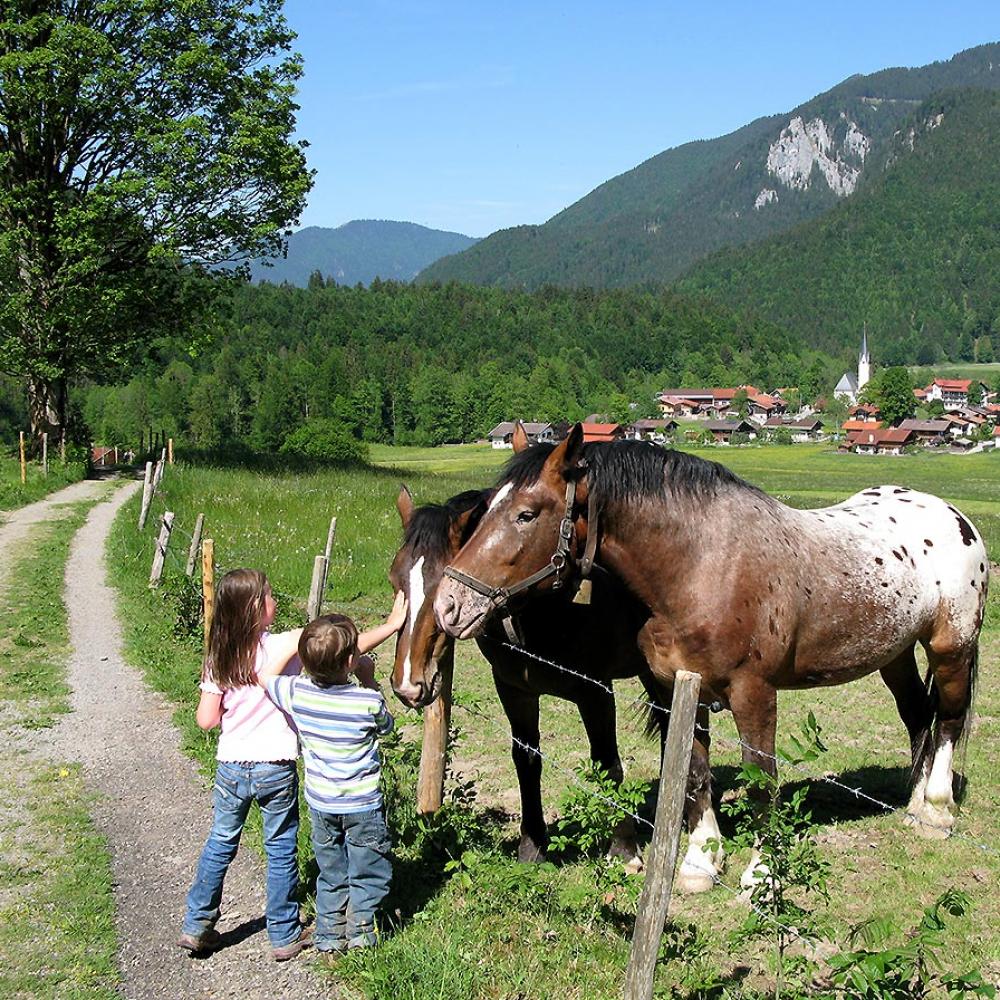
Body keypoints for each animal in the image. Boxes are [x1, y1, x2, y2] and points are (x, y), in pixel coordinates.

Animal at [386, 472, 668, 872]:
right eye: (395, 580)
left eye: (444, 581)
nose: (409, 683)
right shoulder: (513, 689)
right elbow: (527, 760)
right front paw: (532, 843)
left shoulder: (596, 692)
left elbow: (607, 763)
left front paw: (623, 849)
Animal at [434, 426, 988, 888]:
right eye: (483, 510)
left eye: (527, 514)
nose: (449, 605)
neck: (703, 566)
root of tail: (954, 516)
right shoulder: (678, 689)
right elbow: (694, 774)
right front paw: (701, 861)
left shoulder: (753, 693)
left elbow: (761, 779)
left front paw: (761, 875)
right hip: (894, 653)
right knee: (917, 714)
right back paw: (913, 805)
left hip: (951, 648)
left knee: (948, 720)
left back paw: (937, 810)